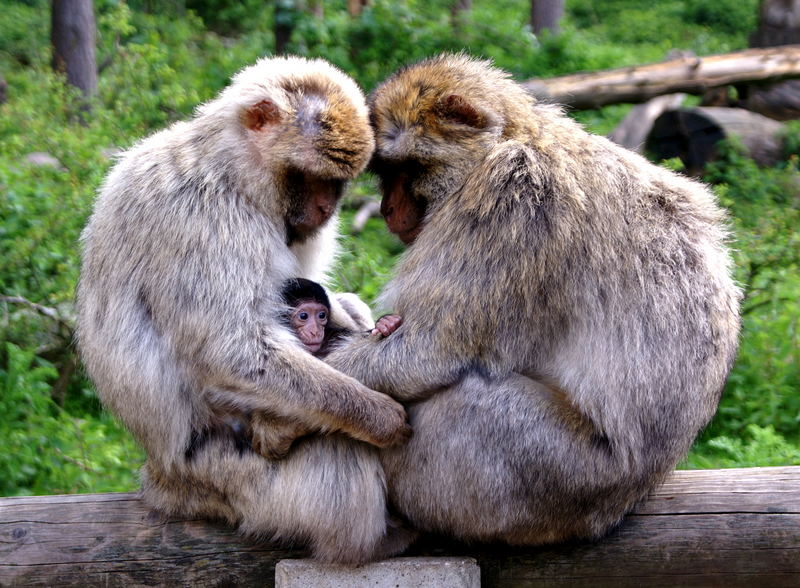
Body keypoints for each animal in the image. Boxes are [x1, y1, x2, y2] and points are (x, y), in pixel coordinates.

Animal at [76, 56, 412, 564]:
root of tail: (163, 478)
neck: (232, 171)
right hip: (232, 478)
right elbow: (232, 352)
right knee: (334, 450)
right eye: (311, 178)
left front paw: (358, 317)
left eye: (336, 184)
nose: (325, 208)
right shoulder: (202, 217)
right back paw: (365, 540)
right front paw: (379, 414)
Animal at [324, 55, 736, 548]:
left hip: (559, 477)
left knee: (459, 406)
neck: (519, 137)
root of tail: (635, 493)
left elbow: (431, 352)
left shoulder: (512, 196)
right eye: (386, 174)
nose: (386, 209)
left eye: (410, 169)